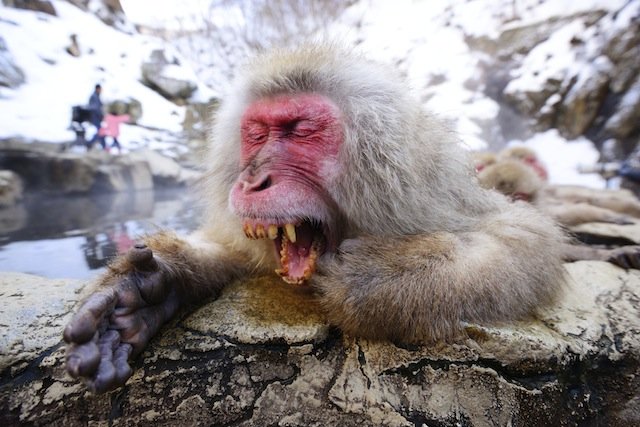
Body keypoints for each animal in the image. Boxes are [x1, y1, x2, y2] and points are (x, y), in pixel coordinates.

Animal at [62, 44, 568, 394]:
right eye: (257, 132)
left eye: (301, 131)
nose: (252, 180)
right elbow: (233, 252)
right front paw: (144, 292)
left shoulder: (442, 197)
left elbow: (527, 237)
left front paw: (381, 279)